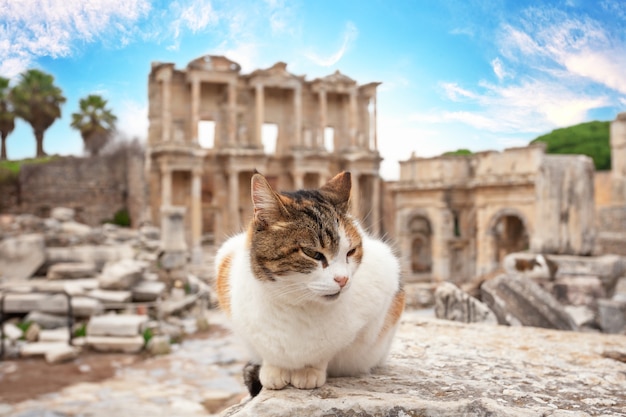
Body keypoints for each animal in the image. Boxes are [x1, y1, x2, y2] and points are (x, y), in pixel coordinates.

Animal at [212, 171, 402, 394]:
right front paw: (273, 370)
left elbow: (326, 351)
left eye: (351, 252)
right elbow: (267, 351)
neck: (296, 303)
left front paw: (309, 371)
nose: (343, 279)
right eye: (312, 253)